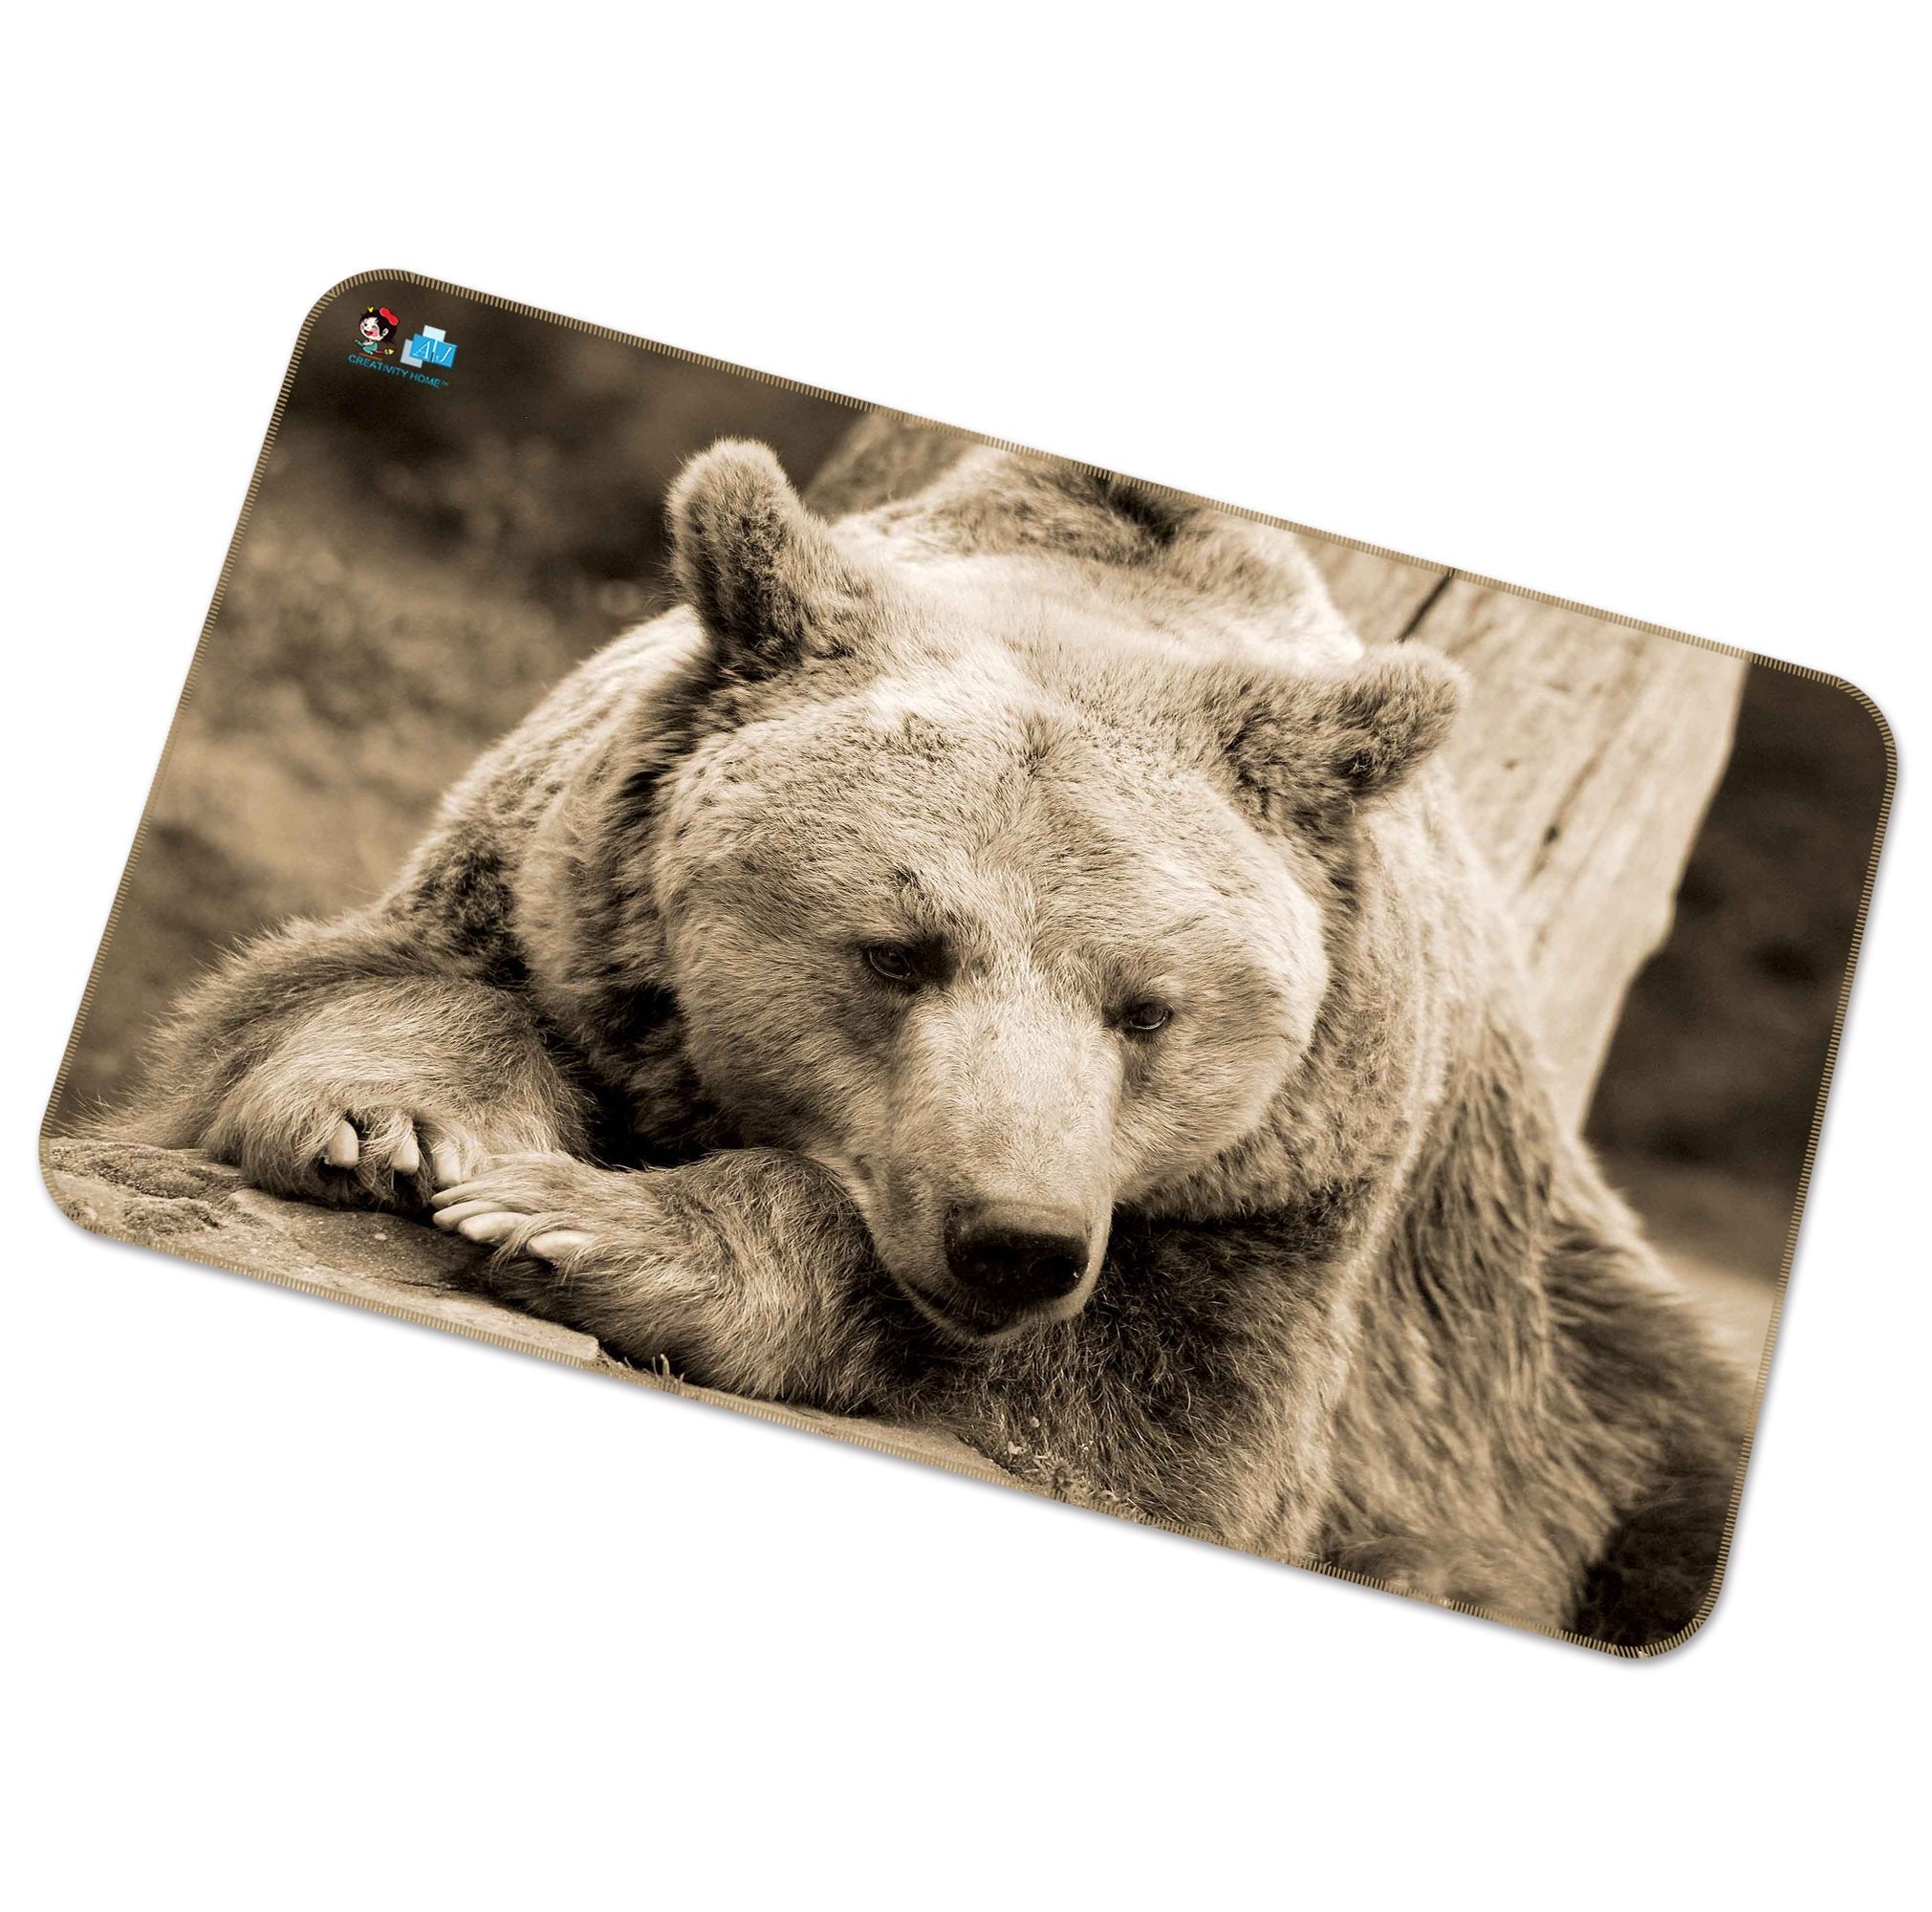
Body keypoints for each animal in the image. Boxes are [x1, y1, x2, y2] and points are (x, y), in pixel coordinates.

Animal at [118, 436, 1752, 1648]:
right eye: (897, 950)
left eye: (1147, 1005)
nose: (1012, 1238)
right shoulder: (541, 887)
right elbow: (348, 993)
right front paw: (406, 1130)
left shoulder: (1299, 1195)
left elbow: (1159, 1409)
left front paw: (592, 1227)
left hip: (1576, 1364)